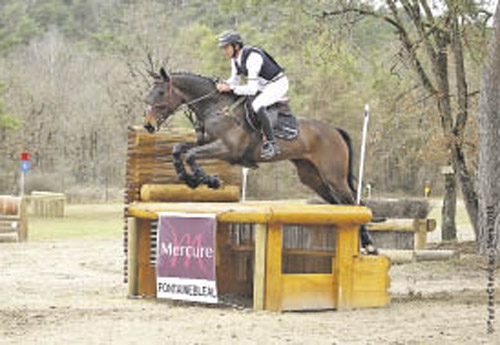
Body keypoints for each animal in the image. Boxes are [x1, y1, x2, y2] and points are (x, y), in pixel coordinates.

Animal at [144, 67, 376, 251]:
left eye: (161, 92)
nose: (148, 125)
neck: (216, 107)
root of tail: (335, 131)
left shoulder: (226, 149)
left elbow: (191, 155)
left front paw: (209, 180)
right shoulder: (205, 142)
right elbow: (178, 149)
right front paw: (189, 179)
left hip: (333, 177)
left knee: (354, 203)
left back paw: (368, 244)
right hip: (313, 178)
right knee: (340, 204)